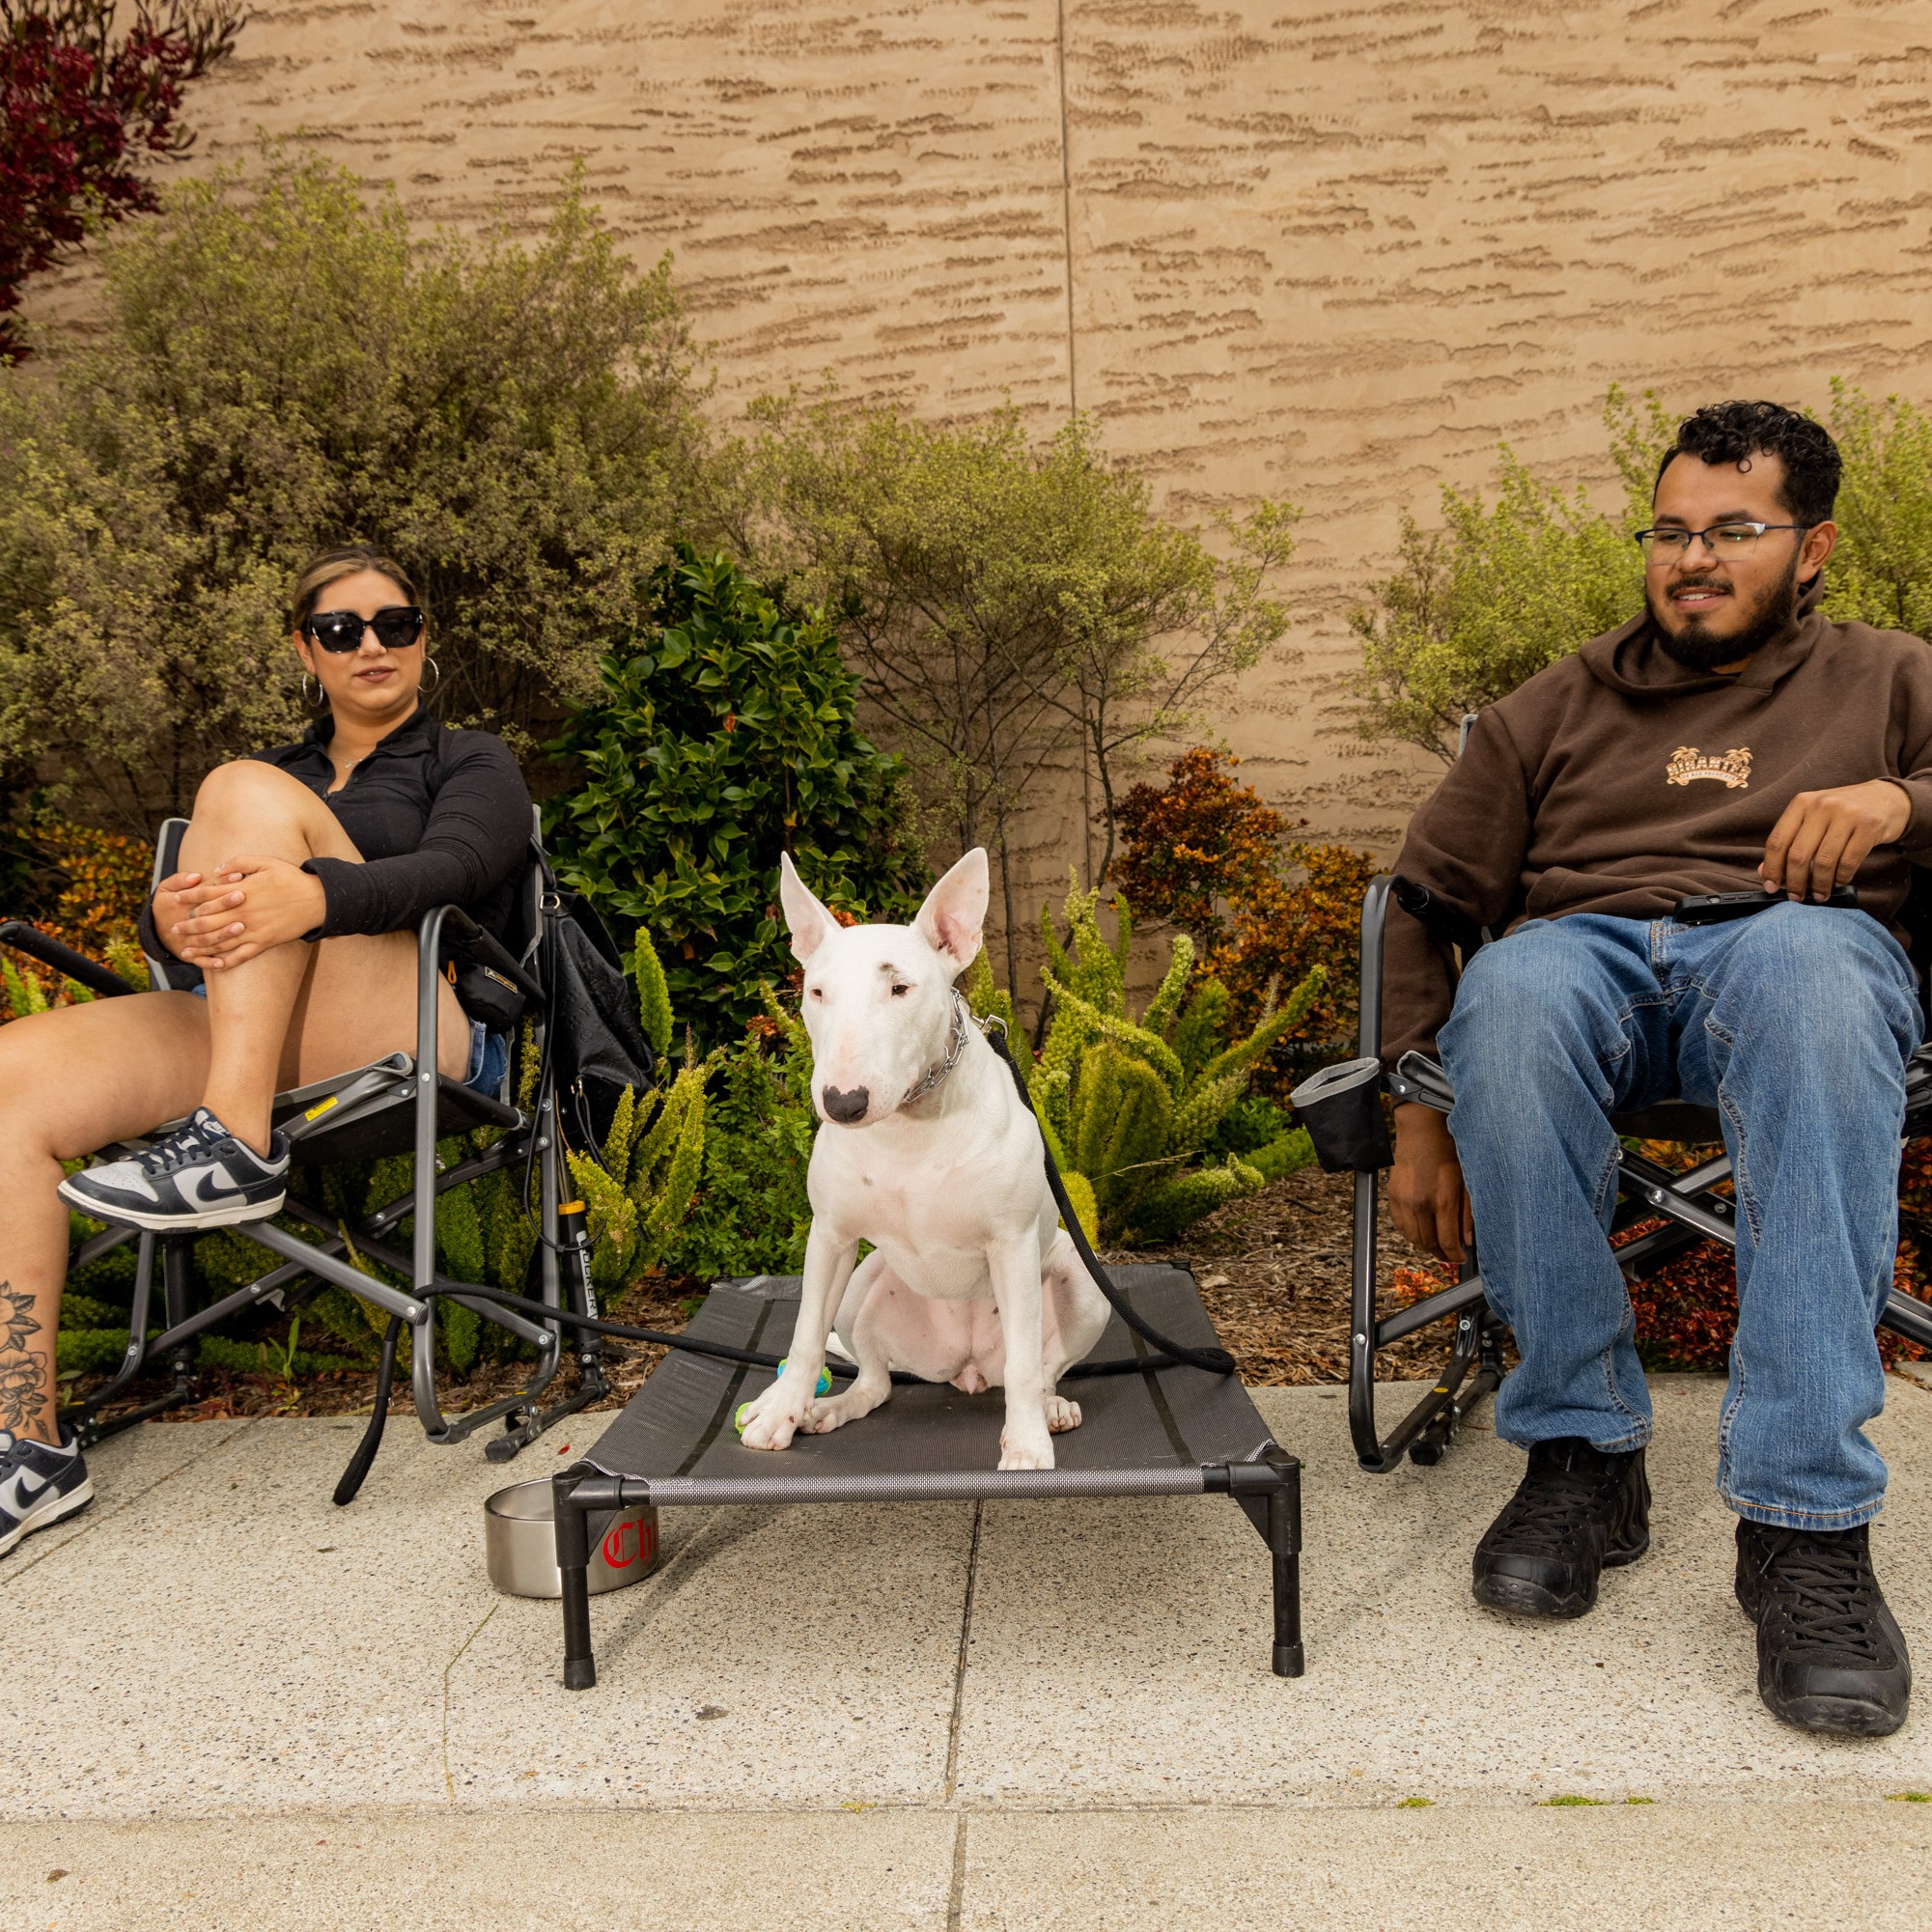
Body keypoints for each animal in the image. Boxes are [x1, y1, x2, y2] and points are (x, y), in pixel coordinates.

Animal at [730, 846, 1112, 1460]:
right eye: (817, 993)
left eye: (900, 989)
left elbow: (1027, 1363)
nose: (843, 1104)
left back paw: (1049, 1408)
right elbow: (806, 1332)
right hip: (863, 1283)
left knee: (1042, 1365)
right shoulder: (830, 1236)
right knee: (876, 1381)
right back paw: (830, 1408)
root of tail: (967, 1366)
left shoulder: (1012, 1244)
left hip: (1083, 1280)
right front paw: (781, 1411)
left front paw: (1026, 1445)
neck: (908, 1128)